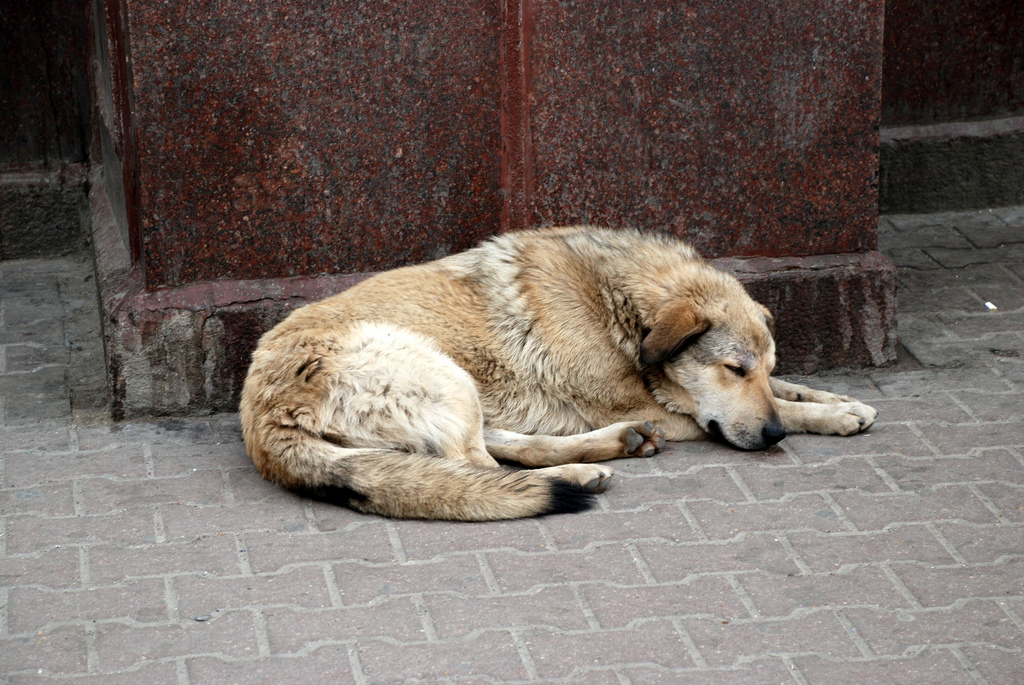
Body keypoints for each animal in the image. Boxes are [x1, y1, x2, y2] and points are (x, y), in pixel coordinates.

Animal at [237, 228, 872, 518]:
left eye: (759, 367)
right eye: (732, 369)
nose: (773, 439)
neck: (614, 300)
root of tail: (261, 415)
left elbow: (788, 391)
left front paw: (840, 403)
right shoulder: (655, 403)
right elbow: (743, 407)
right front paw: (824, 416)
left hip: (457, 391)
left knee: (503, 451)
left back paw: (607, 451)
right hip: (440, 372)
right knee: (480, 470)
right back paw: (578, 474)